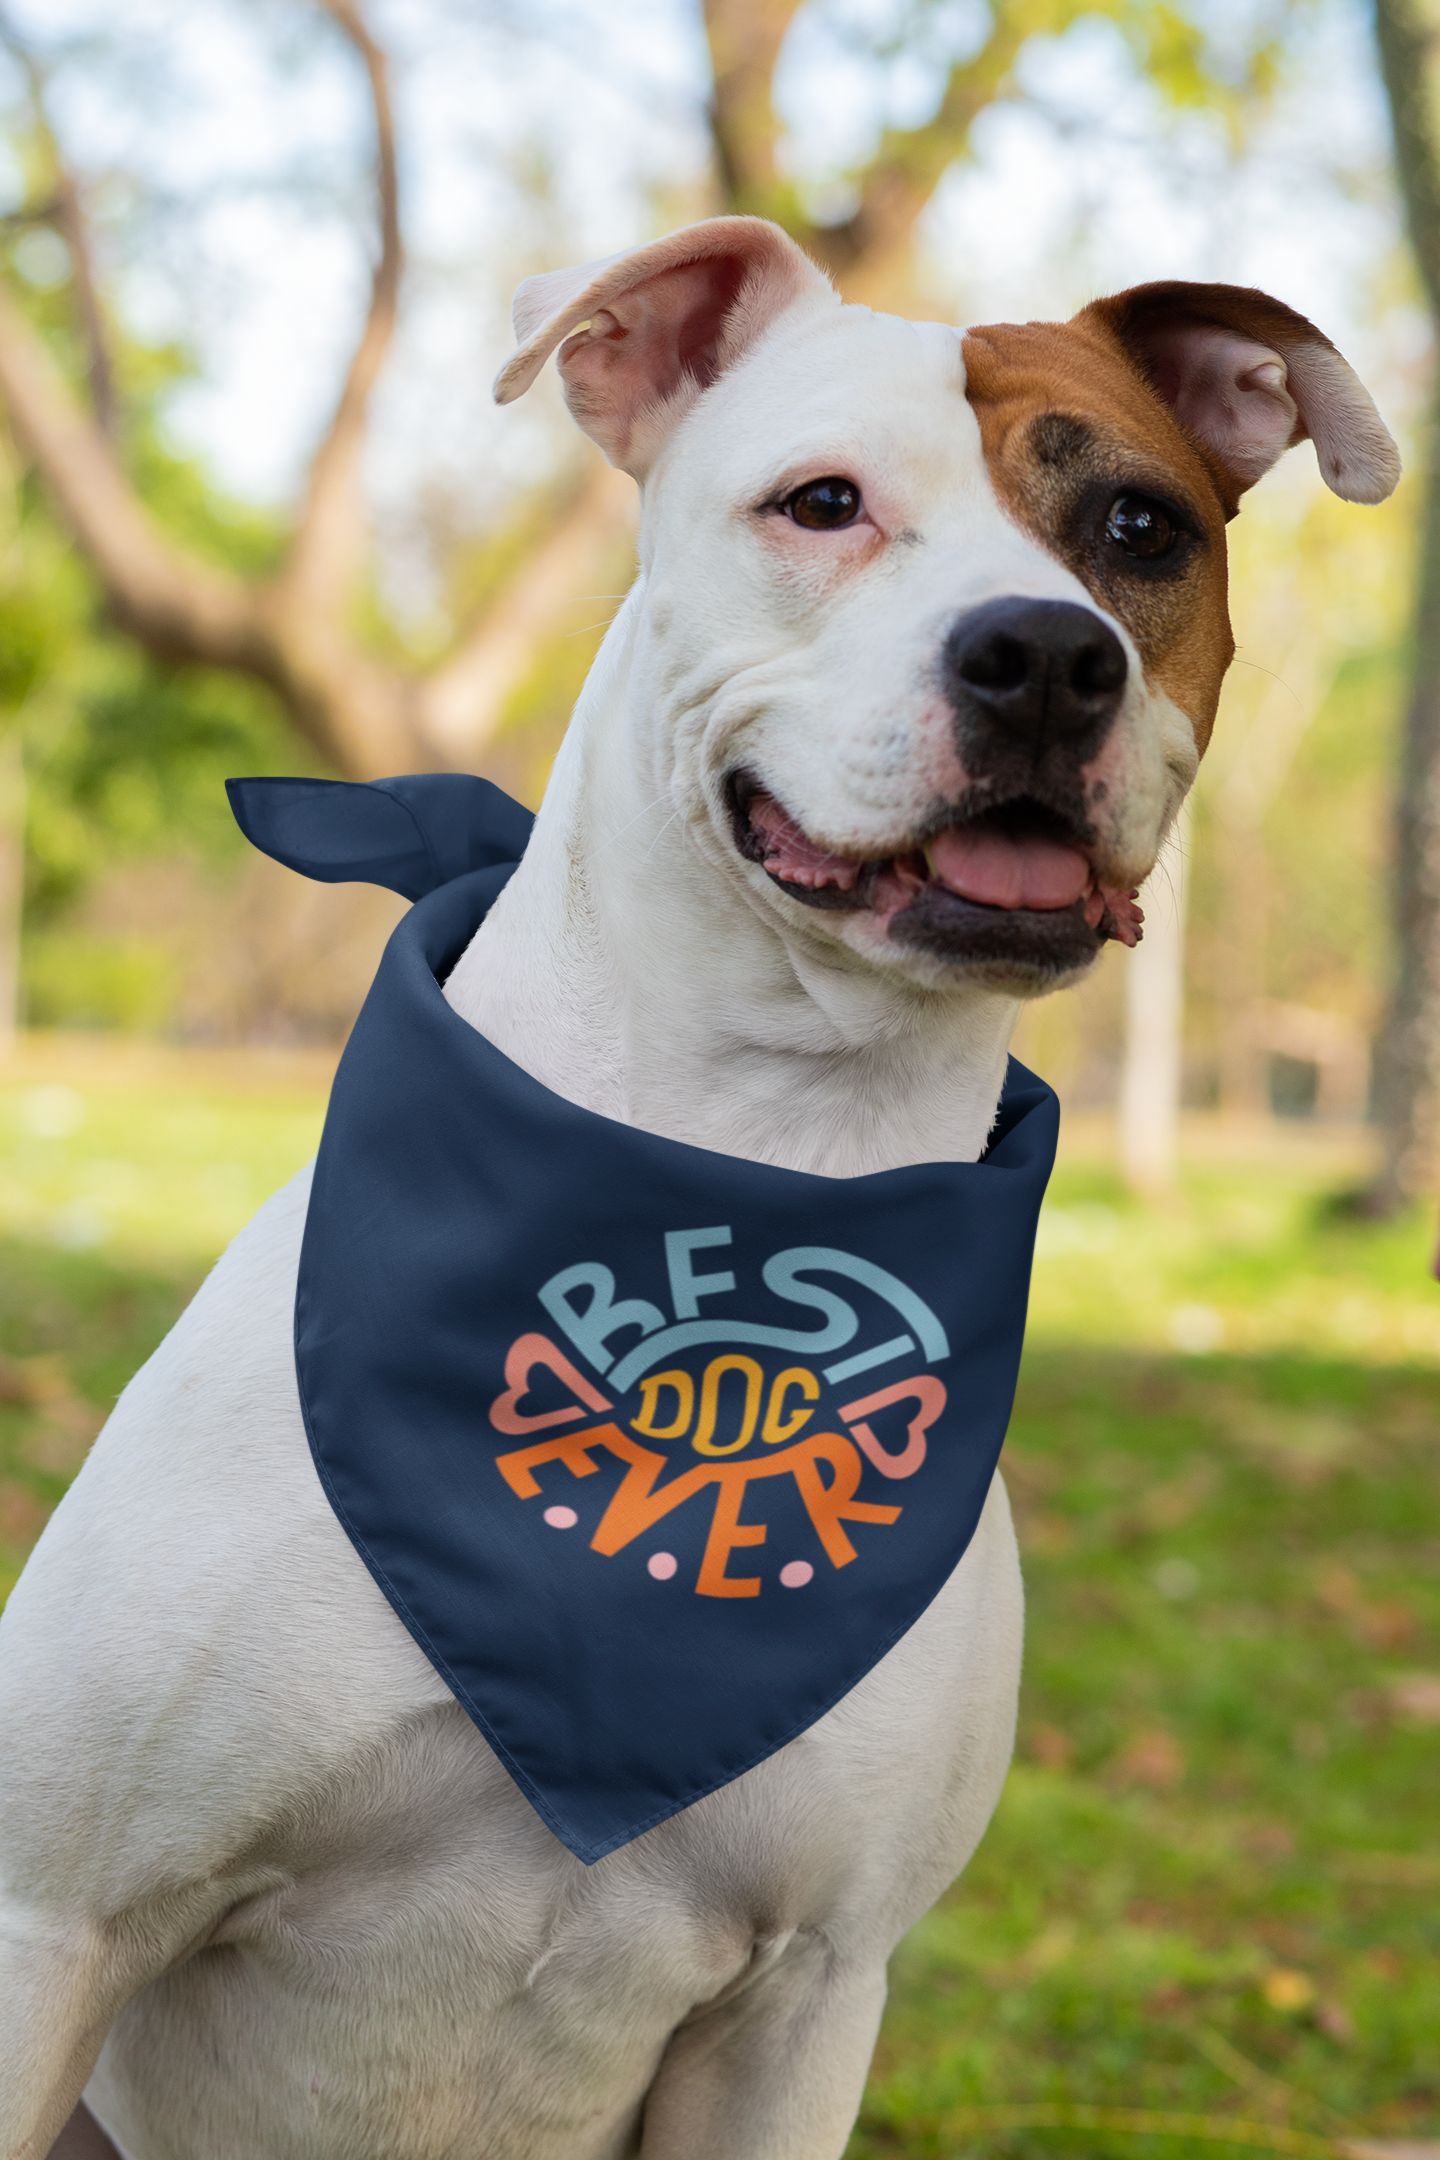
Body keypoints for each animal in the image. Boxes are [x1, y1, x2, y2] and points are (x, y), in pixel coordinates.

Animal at [0, 206, 1398, 2160]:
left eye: (1139, 530)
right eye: (820, 504)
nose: (1049, 656)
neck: (755, 1150)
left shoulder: (808, 1994)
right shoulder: (58, 1917)